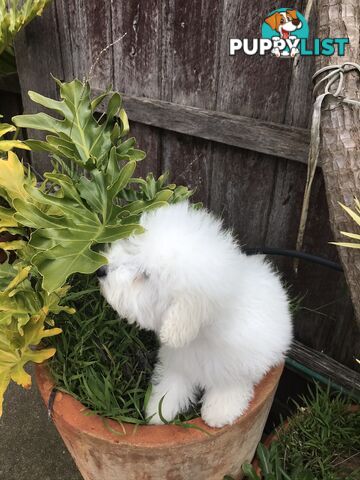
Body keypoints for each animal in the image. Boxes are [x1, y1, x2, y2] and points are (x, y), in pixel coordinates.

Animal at [98, 202, 292, 428]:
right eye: (131, 248)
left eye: (144, 275)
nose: (101, 270)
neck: (205, 335)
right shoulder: (179, 362)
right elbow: (171, 385)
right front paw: (159, 411)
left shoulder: (236, 367)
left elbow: (229, 387)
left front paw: (219, 412)